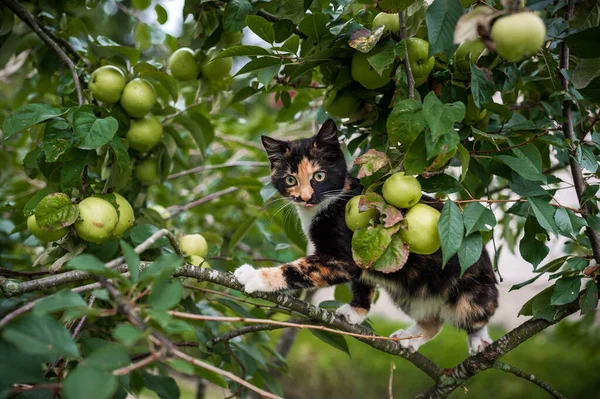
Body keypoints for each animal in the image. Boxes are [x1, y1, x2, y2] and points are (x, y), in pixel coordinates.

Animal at [232, 119, 500, 354]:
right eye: (290, 179)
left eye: (319, 176)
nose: (305, 197)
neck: (330, 203)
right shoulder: (363, 250)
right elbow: (363, 279)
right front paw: (356, 311)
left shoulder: (341, 256)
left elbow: (301, 269)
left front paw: (255, 276)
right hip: (410, 291)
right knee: (434, 321)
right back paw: (410, 338)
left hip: (467, 288)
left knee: (477, 313)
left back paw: (479, 340)